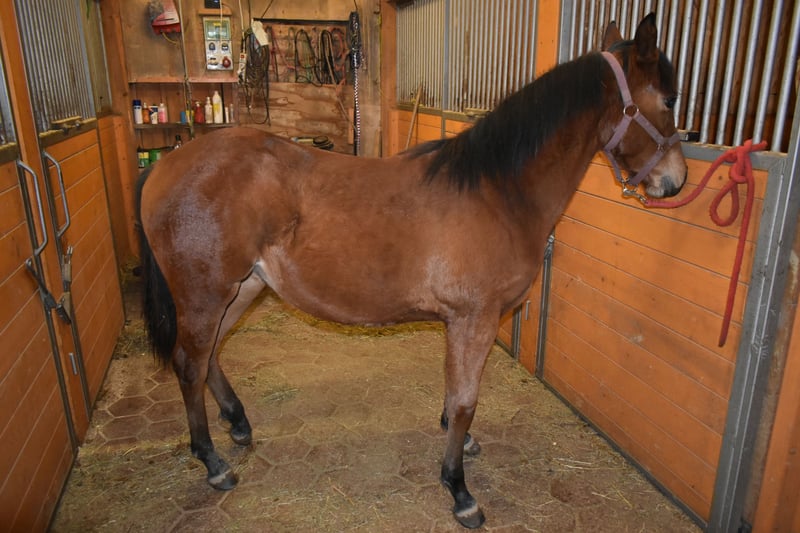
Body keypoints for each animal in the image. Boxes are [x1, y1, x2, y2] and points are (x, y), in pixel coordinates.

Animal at [137, 14, 686, 529]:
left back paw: (238, 424)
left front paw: (459, 445)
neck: (496, 191)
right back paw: (213, 463)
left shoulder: (462, 323)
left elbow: (455, 393)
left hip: (241, 289)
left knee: (209, 356)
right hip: (206, 295)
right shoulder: (474, 319)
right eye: (668, 99)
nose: (675, 181)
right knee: (189, 364)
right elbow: (465, 400)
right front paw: (459, 491)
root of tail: (165, 165)